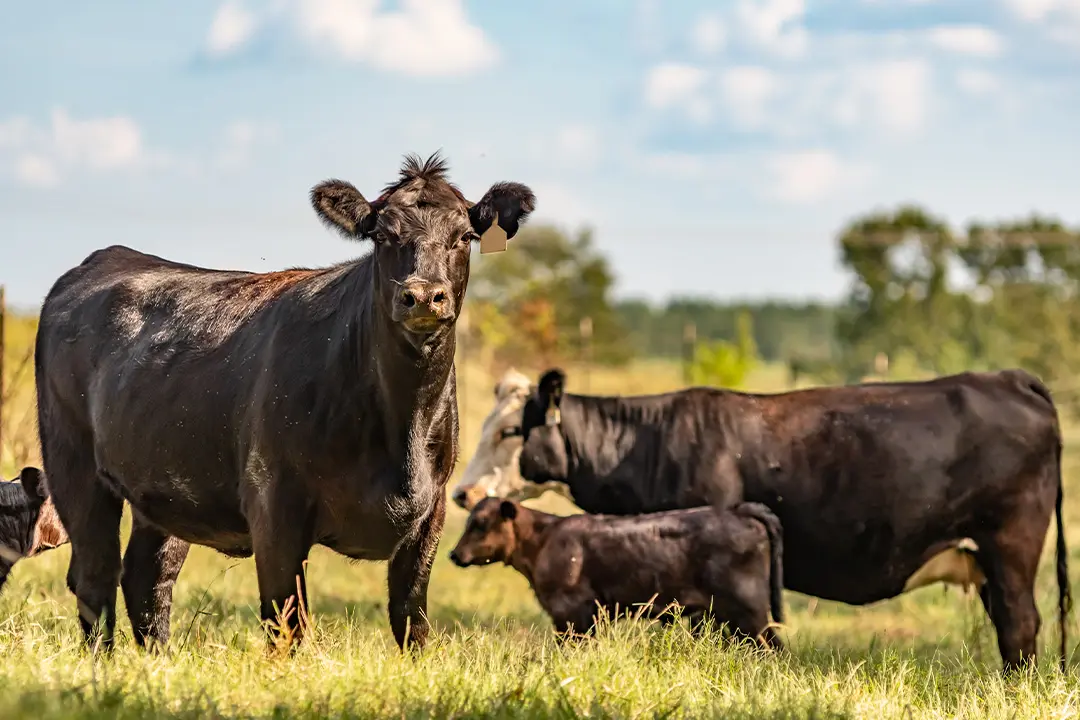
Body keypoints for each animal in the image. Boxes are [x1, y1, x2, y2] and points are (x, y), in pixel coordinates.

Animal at [32, 152, 535, 651]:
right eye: (382, 236)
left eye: (465, 236)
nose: (424, 296)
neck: (401, 427)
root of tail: (107, 258)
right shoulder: (274, 506)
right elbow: (287, 622)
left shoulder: (431, 513)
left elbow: (412, 622)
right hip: (73, 463)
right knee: (95, 575)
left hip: (166, 485)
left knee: (148, 577)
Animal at [511, 371, 1071, 677]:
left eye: (510, 431)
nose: (479, 492)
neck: (648, 443)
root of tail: (1006, 378)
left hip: (1011, 545)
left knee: (1020, 624)